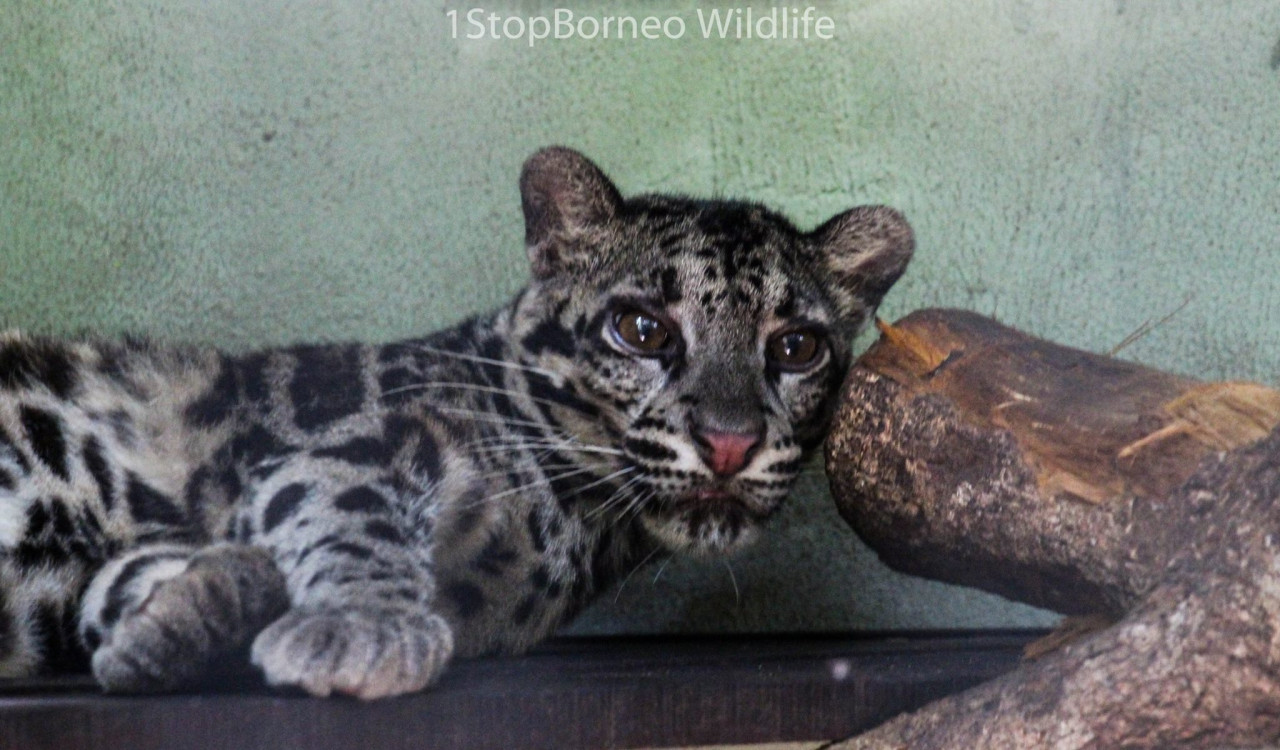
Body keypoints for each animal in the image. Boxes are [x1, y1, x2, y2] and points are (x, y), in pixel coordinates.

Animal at [0, 147, 913, 699]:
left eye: (796, 348)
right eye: (642, 330)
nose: (730, 442)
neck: (583, 526)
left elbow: (136, 577)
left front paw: (178, 621)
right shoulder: (368, 436)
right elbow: (350, 512)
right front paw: (360, 629)